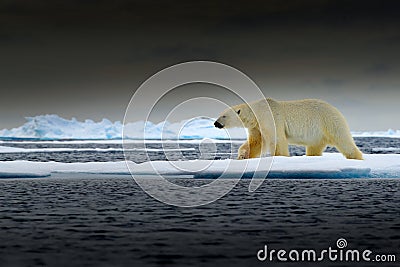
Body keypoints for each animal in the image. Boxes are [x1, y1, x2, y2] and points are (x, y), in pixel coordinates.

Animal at [214, 99, 364, 160]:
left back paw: (356, 157)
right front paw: (242, 155)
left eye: (224, 115)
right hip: (318, 133)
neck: (256, 112)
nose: (216, 123)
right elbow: (256, 141)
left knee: (343, 139)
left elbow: (276, 138)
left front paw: (280, 156)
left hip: (329, 120)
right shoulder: (256, 125)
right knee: (314, 147)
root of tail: (335, 108)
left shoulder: (270, 117)